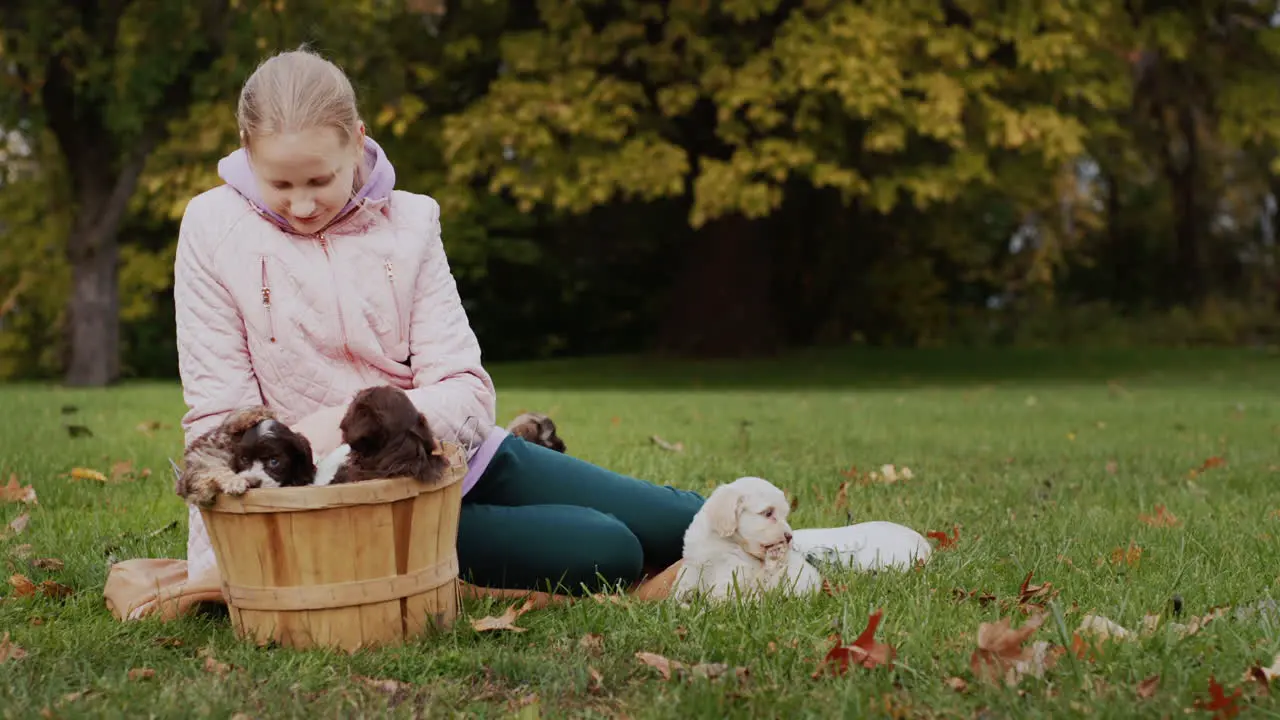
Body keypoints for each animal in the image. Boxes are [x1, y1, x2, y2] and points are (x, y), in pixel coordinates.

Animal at [675, 471, 936, 599]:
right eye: (768, 513)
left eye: (784, 514)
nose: (789, 537)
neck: (723, 541)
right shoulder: (694, 565)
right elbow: (683, 584)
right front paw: (678, 604)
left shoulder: (732, 572)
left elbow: (721, 592)